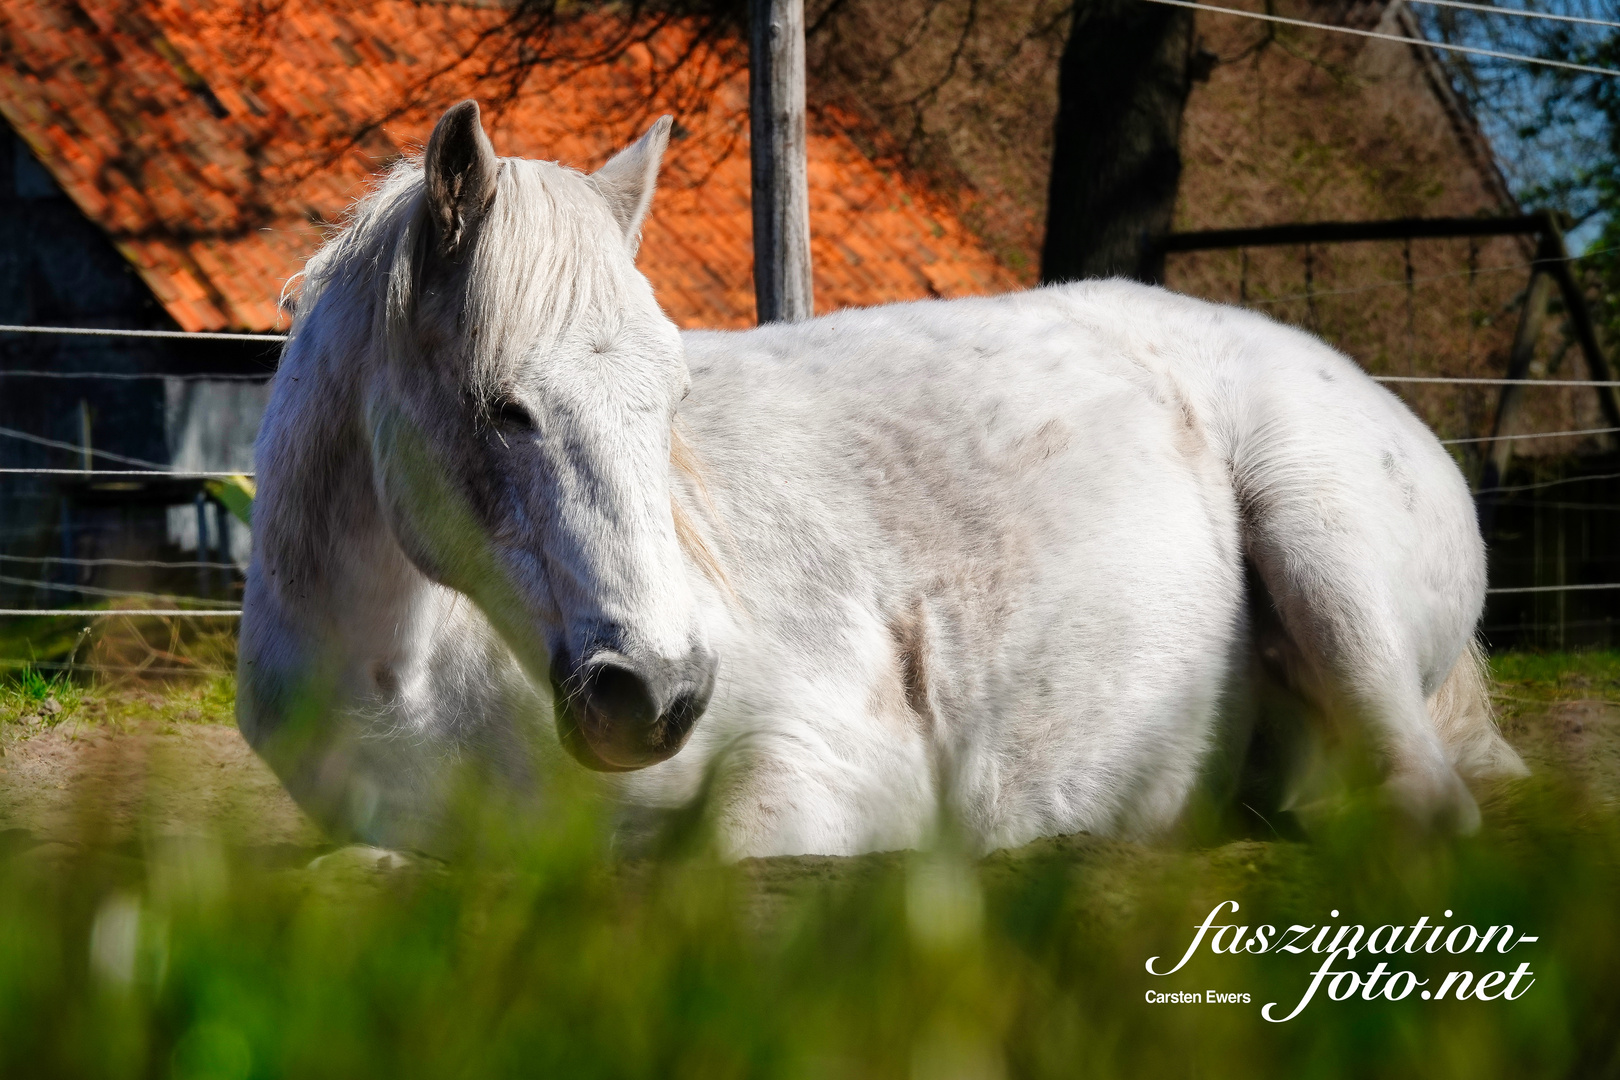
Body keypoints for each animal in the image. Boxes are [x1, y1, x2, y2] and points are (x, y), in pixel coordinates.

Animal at [234, 103, 1522, 861]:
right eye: (504, 410)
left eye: (674, 400)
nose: (656, 693)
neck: (416, 674)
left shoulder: (828, 780)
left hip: (1322, 546)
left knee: (1427, 801)